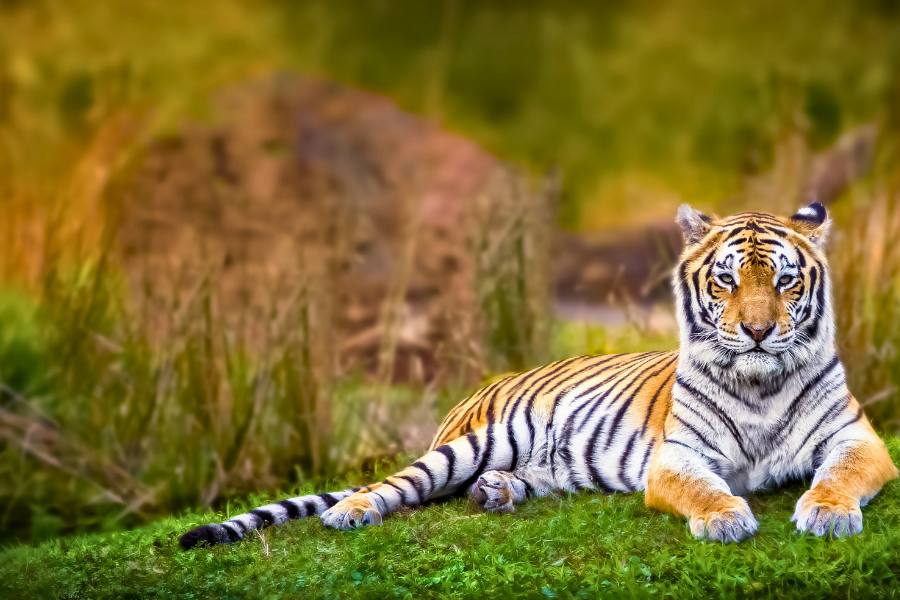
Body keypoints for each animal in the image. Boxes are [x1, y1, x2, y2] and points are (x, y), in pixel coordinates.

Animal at [180, 202, 897, 549]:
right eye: (726, 281)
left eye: (784, 281)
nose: (756, 331)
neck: (760, 383)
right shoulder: (679, 456)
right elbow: (702, 488)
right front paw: (725, 519)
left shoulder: (859, 439)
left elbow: (840, 475)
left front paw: (827, 514)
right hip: (473, 442)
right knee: (398, 485)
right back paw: (352, 512)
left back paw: (496, 493)